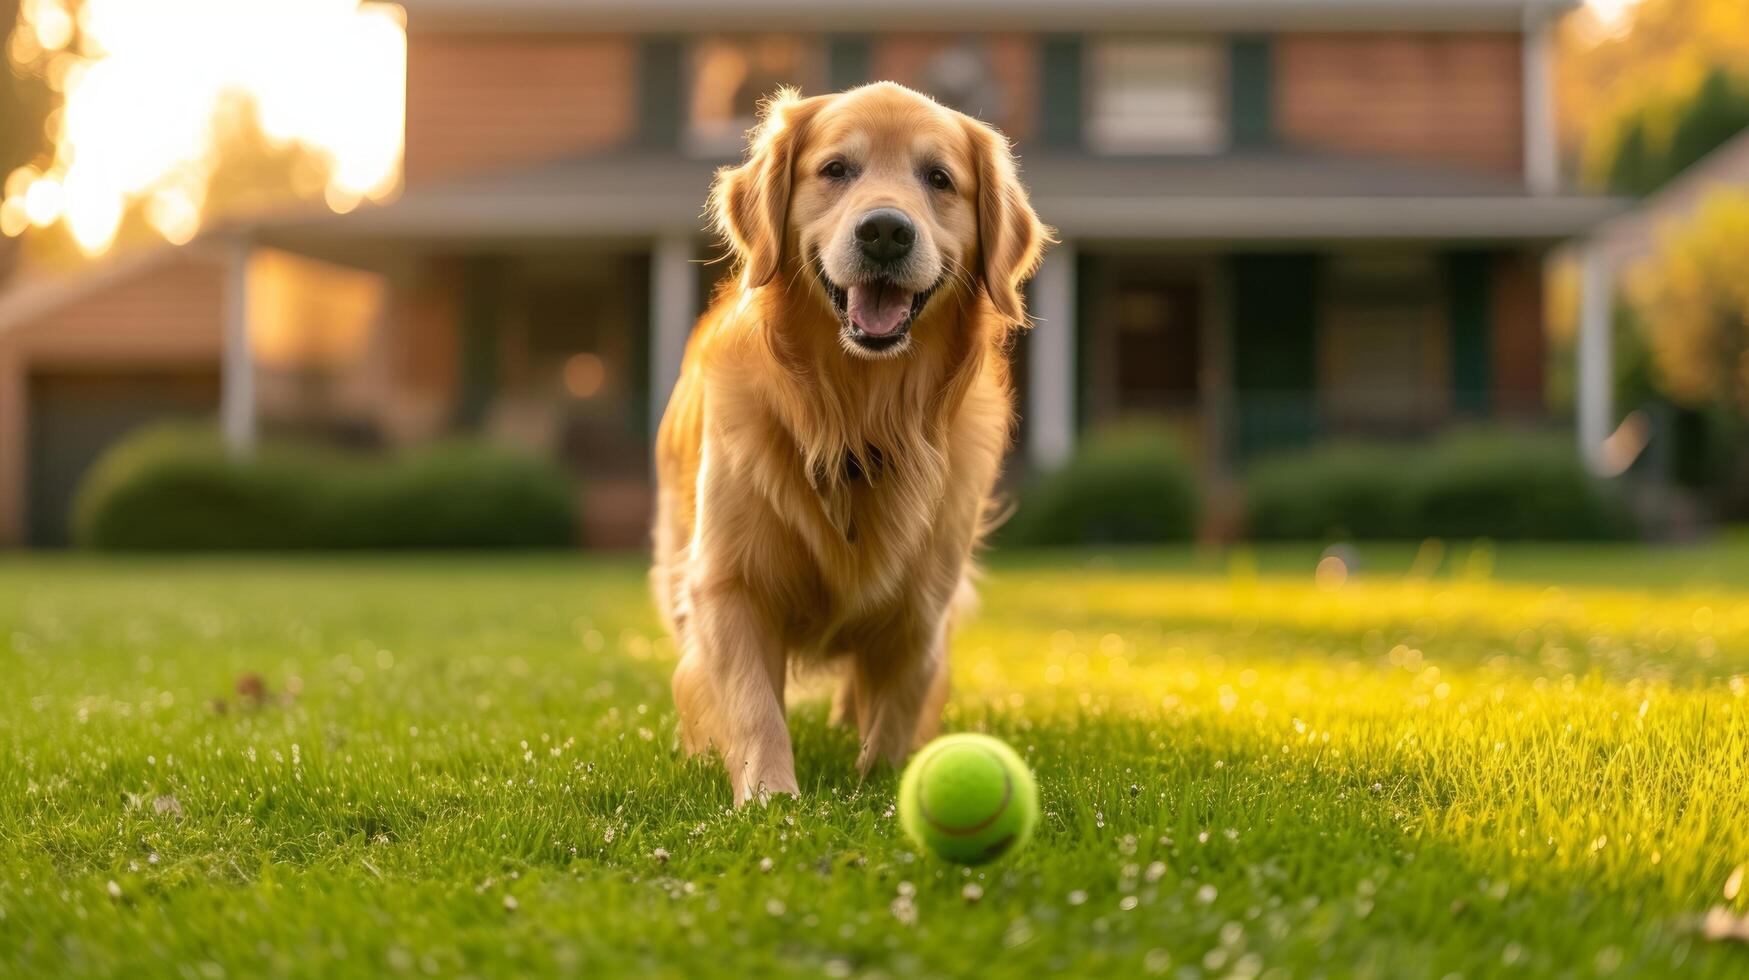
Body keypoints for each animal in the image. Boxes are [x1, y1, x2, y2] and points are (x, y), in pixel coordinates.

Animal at [654, 82, 1035, 805]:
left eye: (938, 178)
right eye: (835, 169)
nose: (885, 230)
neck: (856, 414)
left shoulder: (925, 598)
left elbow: (900, 702)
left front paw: (881, 783)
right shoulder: (728, 581)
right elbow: (752, 703)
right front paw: (770, 798)